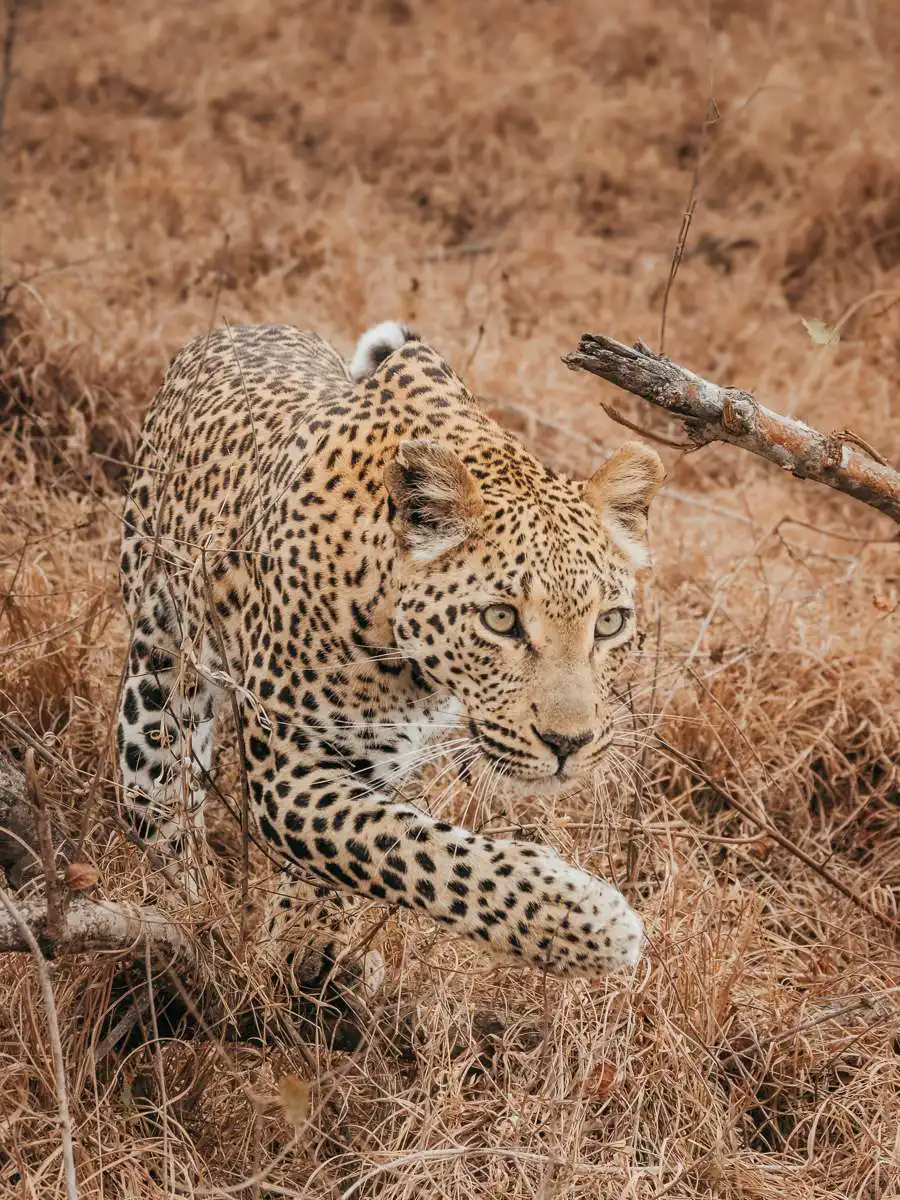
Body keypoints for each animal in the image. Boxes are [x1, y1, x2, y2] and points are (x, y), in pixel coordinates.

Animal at [117, 319, 664, 994]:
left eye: (609, 624)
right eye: (501, 619)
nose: (571, 744)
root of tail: (244, 325)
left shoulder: (375, 758)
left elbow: (355, 857)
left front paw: (303, 947)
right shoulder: (291, 773)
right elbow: (412, 852)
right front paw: (584, 921)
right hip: (158, 673)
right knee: (158, 805)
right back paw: (181, 920)